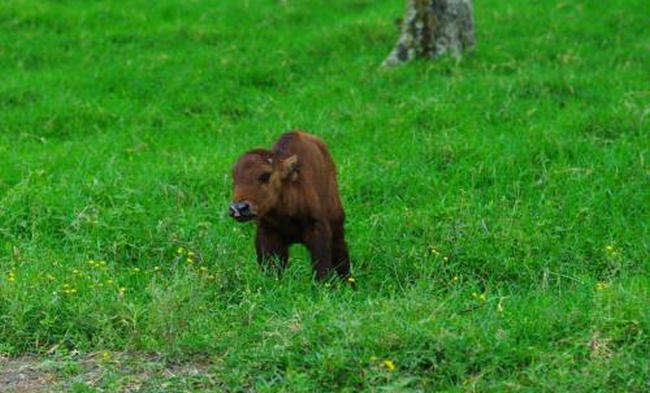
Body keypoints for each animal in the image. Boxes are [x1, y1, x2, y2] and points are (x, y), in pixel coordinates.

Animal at [228, 130, 350, 280]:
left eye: (265, 175)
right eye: (234, 178)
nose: (238, 208)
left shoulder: (318, 231)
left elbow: (322, 267)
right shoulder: (268, 235)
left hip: (336, 222)